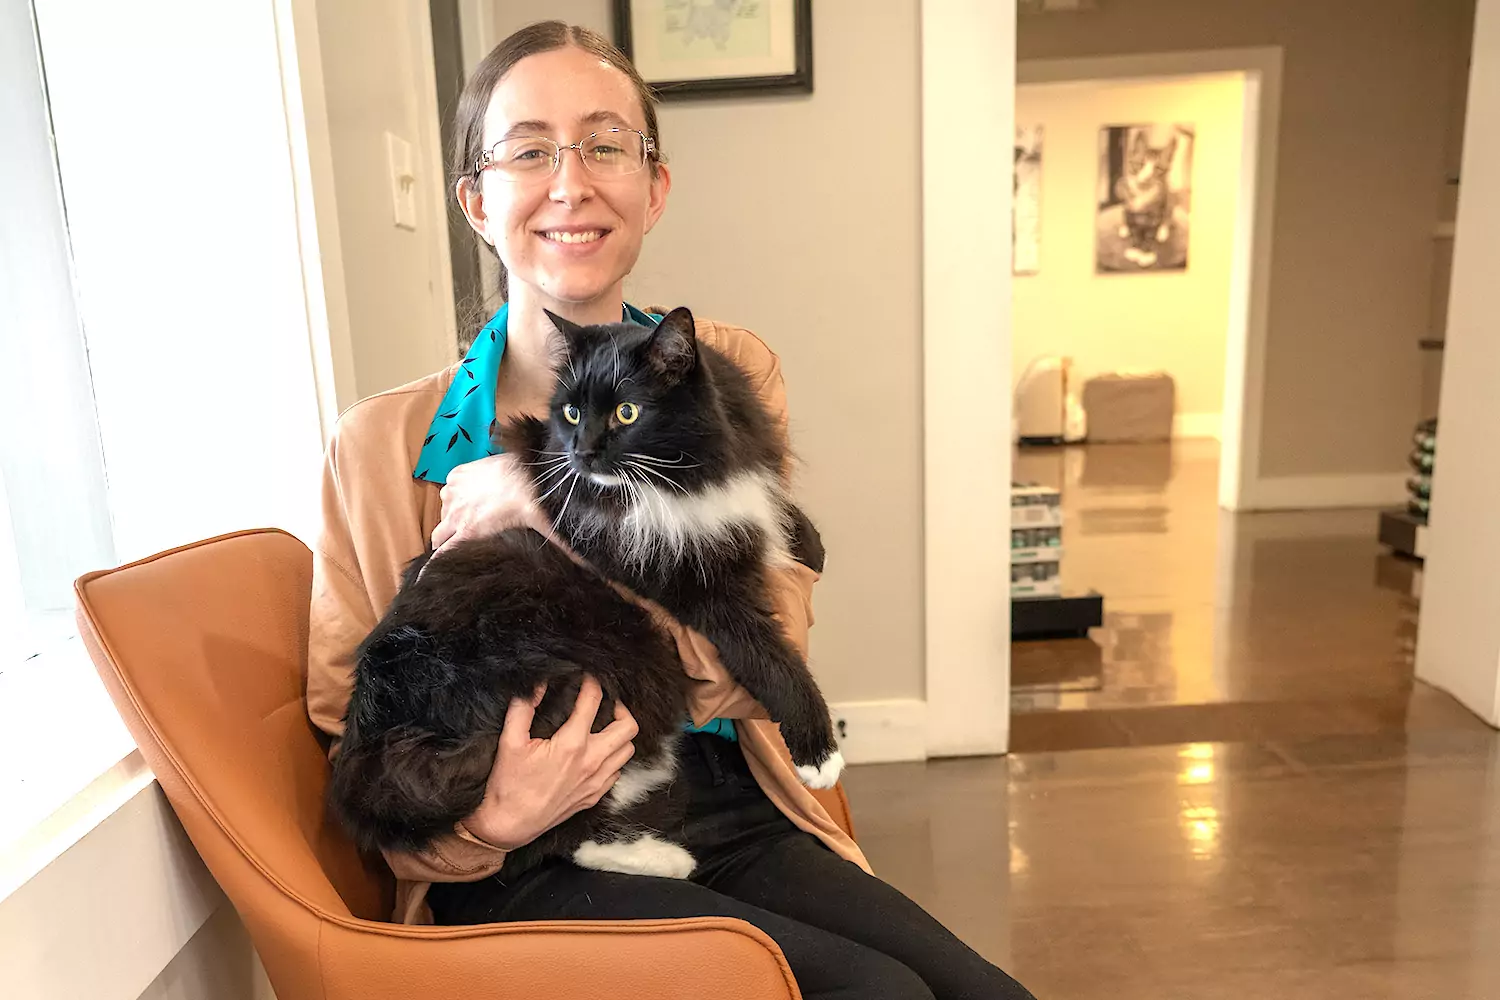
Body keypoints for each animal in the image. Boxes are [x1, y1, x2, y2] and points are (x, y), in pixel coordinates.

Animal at [331, 307, 846, 881]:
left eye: (626, 412)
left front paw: (810, 547)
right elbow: (768, 656)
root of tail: (373, 744)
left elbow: (777, 513)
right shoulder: (695, 589)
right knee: (545, 834)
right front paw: (818, 754)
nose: (582, 452)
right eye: (573, 413)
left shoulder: (743, 482)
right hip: (588, 679)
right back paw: (667, 859)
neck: (684, 477)